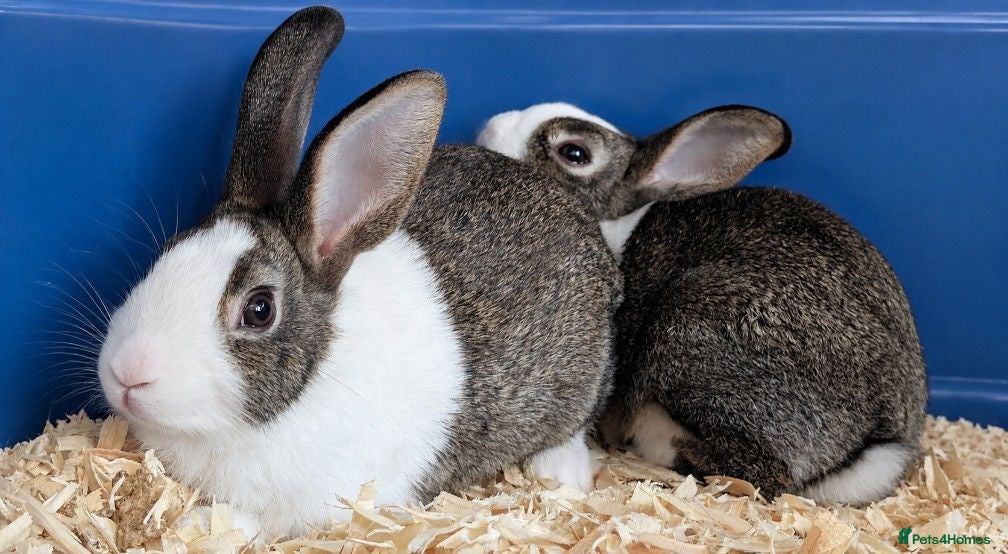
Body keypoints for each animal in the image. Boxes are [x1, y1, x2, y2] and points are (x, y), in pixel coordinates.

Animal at [96, 8, 621, 538]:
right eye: (165, 253)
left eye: (259, 309)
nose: (128, 374)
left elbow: (245, 520)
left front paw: (194, 527)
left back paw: (564, 472)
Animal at [477, 102, 928, 505]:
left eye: (574, 153)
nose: (491, 125)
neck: (616, 226)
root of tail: (878, 438)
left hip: (688, 331)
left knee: (768, 476)